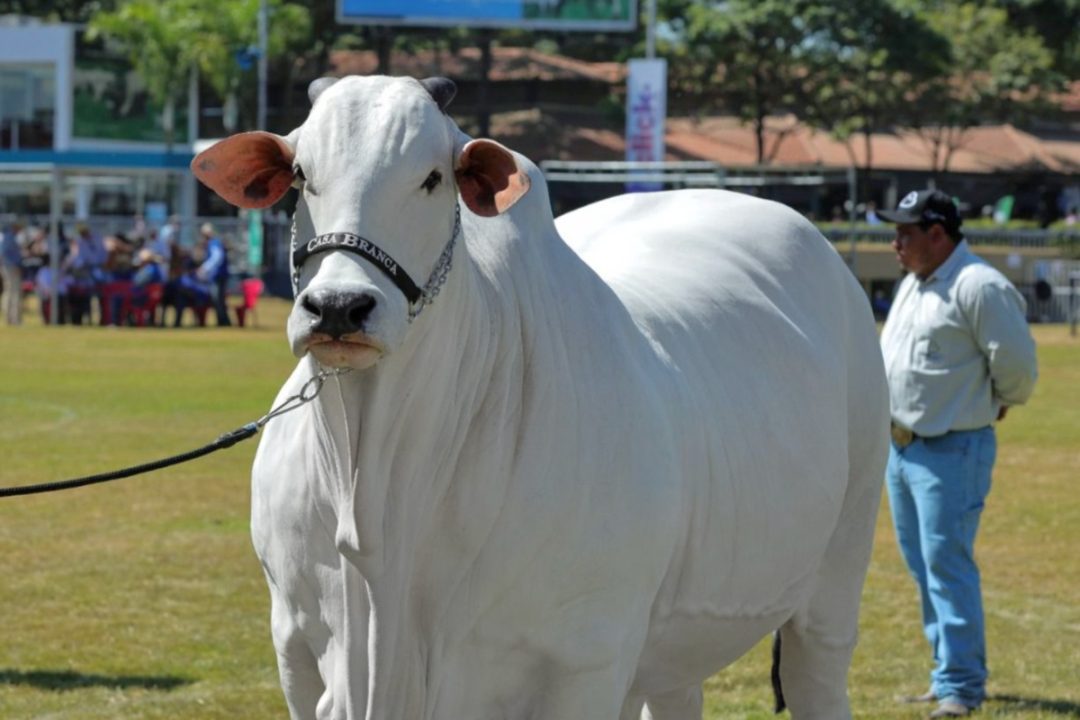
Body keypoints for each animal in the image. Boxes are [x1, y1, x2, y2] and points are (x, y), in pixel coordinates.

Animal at [192, 74, 885, 720]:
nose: (338, 307)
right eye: (300, 175)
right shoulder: (296, 653)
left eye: (433, 178)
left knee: (817, 672)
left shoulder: (587, 661)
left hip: (838, 570)